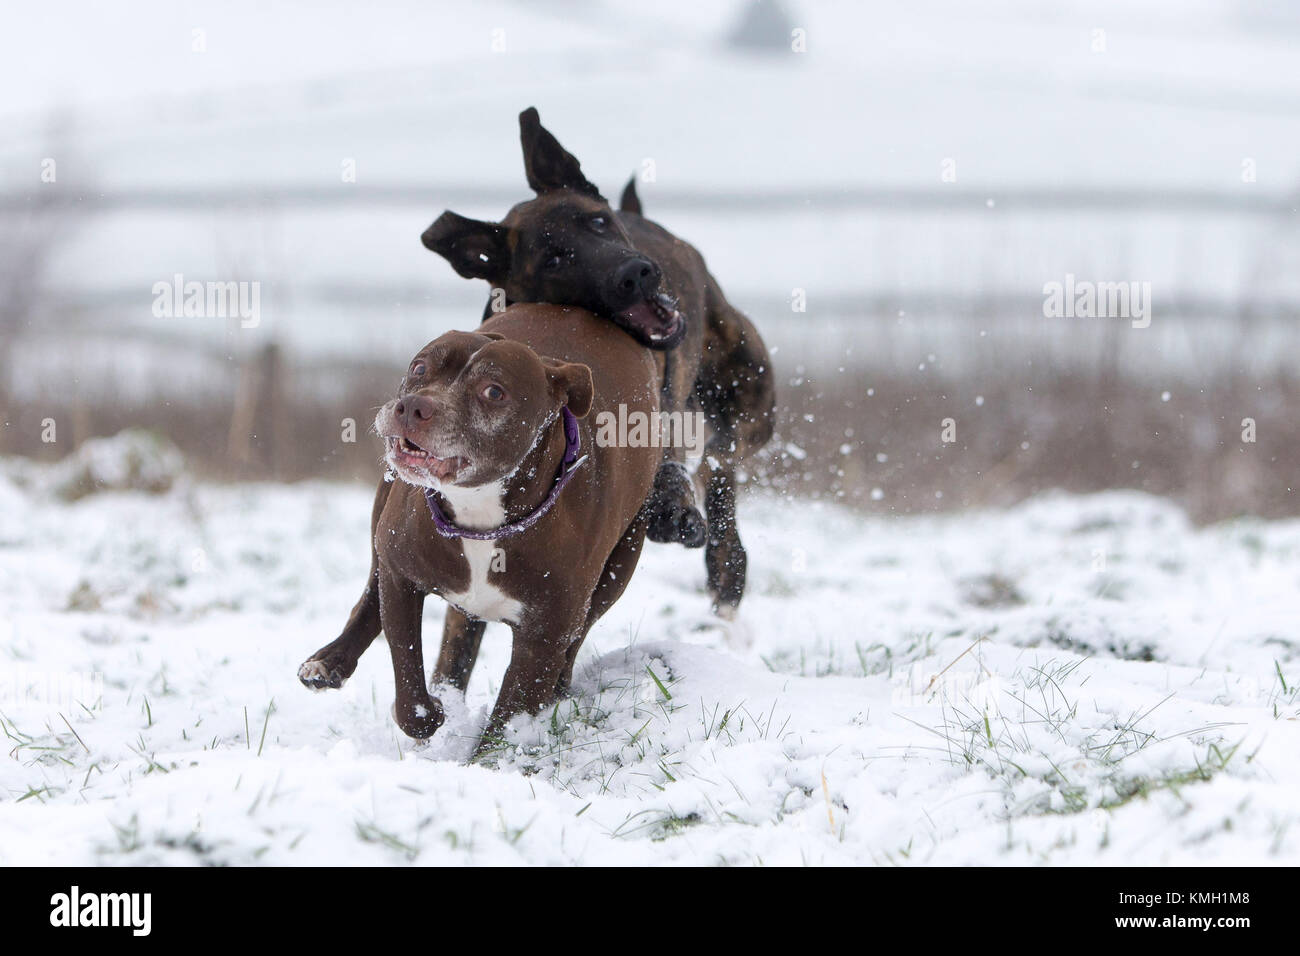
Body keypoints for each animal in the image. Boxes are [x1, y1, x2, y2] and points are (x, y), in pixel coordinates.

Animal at [301, 303, 660, 743]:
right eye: (419, 367)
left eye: (493, 391)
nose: (413, 406)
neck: (480, 513)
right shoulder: (401, 576)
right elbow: (406, 673)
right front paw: (431, 713)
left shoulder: (545, 633)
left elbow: (511, 714)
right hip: (382, 512)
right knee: (371, 595)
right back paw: (330, 661)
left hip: (619, 567)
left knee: (578, 635)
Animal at [421, 104, 774, 613]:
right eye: (555, 259)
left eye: (598, 222)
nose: (636, 273)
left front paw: (678, 508)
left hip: (752, 400)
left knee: (722, 461)